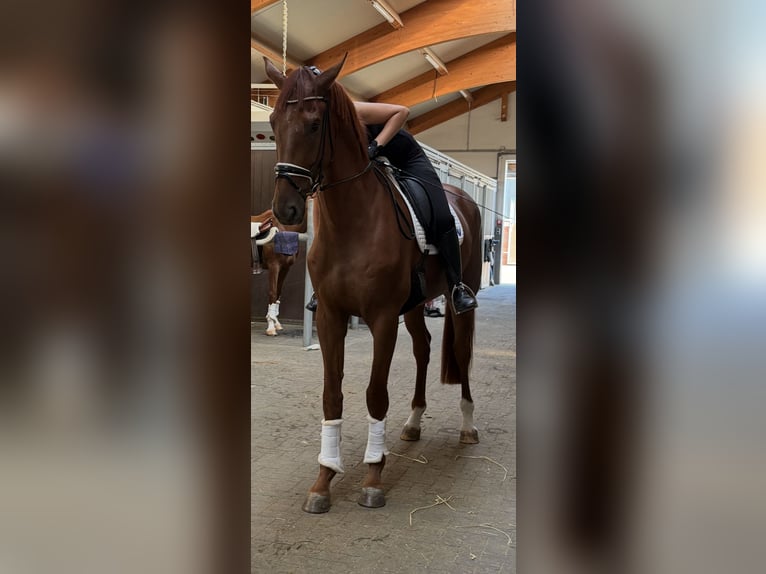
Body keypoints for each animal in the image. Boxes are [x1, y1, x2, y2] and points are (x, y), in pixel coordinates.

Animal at [264, 55, 483, 513]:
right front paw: (325, 478)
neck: (353, 221)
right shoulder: (330, 316)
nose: (286, 209)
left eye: (314, 124)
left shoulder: (381, 318)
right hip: (415, 306)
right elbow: (332, 395)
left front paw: (372, 476)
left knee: (460, 350)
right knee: (424, 349)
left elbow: (375, 394)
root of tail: (463, 197)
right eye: (272, 122)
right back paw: (414, 422)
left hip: (460, 297)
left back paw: (468, 426)